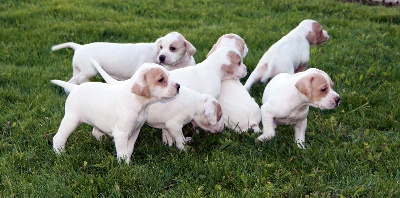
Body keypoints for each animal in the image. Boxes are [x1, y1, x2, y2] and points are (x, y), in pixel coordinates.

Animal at [51, 62, 180, 164]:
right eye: (161, 80)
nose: (178, 86)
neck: (138, 103)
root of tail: (74, 88)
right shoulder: (121, 134)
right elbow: (123, 152)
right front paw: (124, 165)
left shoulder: (135, 131)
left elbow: (129, 148)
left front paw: (127, 160)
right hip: (71, 120)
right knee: (58, 138)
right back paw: (60, 154)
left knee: (95, 131)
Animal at [52, 31, 196, 84]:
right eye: (161, 47)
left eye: (173, 48)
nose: (161, 57)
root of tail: (79, 47)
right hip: (90, 69)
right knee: (80, 79)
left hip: (78, 69)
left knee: (73, 80)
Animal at [91, 59, 227, 149]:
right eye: (220, 116)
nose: (223, 127)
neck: (195, 102)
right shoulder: (174, 125)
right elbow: (179, 138)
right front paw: (184, 148)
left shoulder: (167, 126)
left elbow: (168, 137)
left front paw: (169, 144)